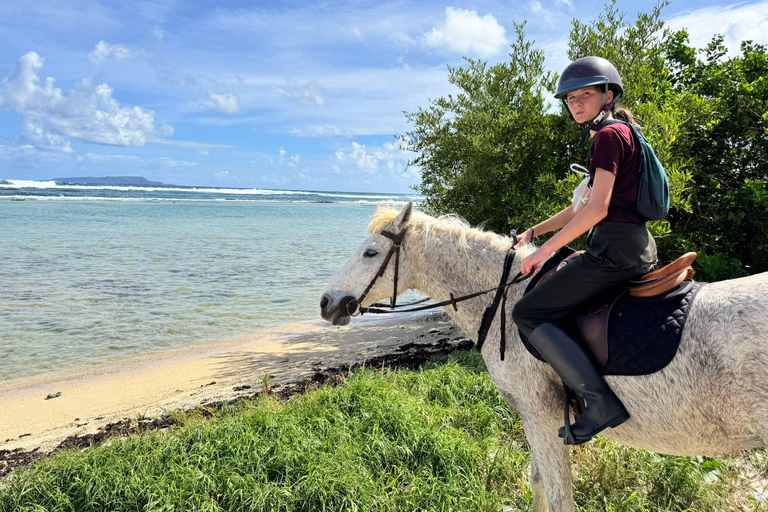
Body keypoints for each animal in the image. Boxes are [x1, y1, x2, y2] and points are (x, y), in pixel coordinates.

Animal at [320, 202, 768, 512]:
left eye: (371, 253)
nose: (326, 302)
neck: (506, 295)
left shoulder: (541, 415)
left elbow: (558, 497)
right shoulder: (533, 419)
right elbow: (538, 483)